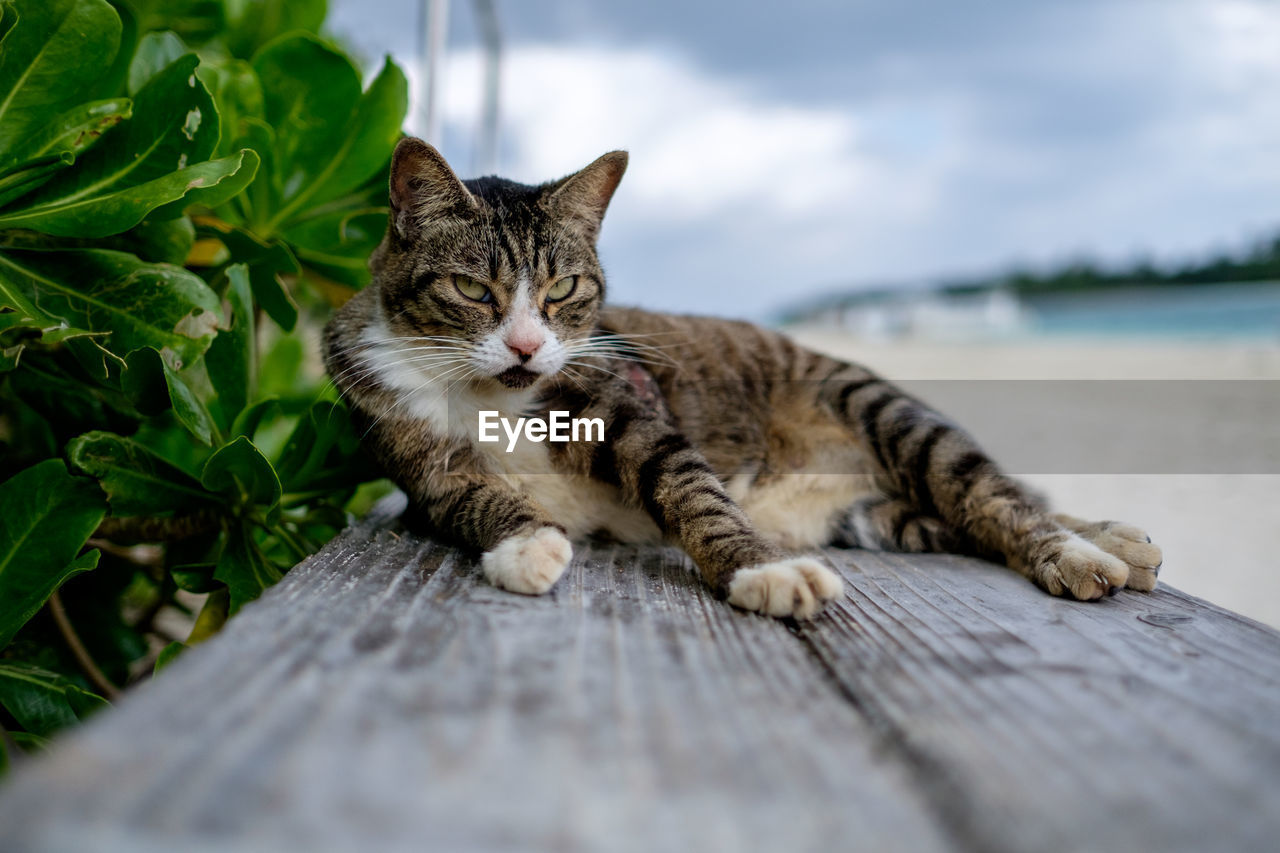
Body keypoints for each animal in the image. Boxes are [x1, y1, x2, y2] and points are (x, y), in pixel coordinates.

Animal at [325, 137, 1167, 617]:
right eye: (472, 290)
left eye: (563, 288)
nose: (529, 346)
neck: (489, 399)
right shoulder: (421, 467)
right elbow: (473, 503)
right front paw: (526, 544)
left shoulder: (630, 410)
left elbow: (694, 491)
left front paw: (764, 569)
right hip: (872, 516)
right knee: (952, 515)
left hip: (880, 407)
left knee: (987, 491)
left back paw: (1088, 547)